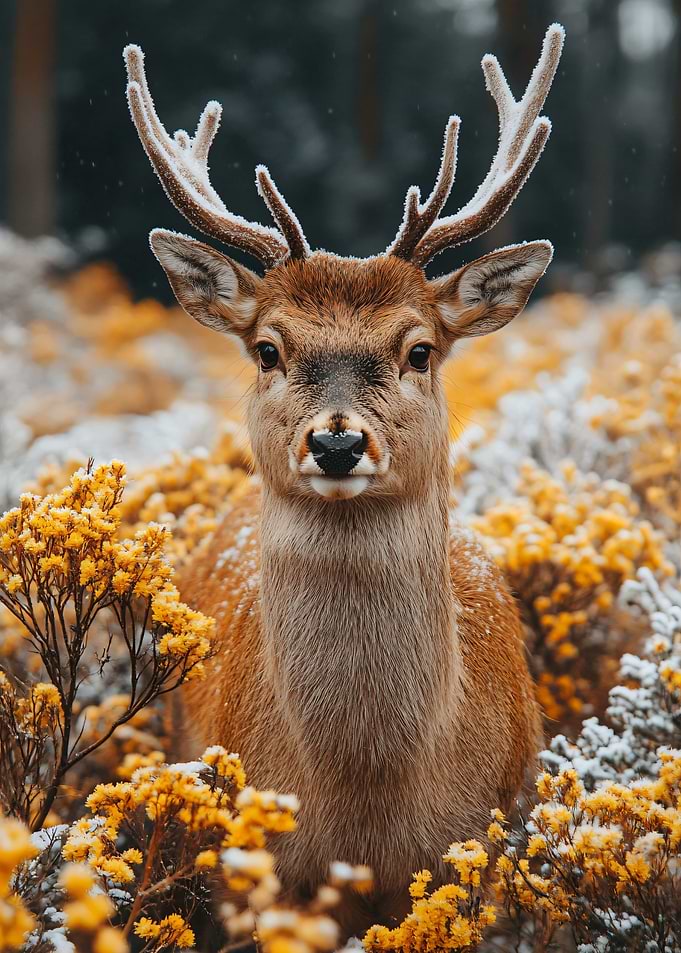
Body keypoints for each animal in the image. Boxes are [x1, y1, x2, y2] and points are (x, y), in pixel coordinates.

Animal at [124, 23, 563, 938]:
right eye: (267, 347)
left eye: (419, 348)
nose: (334, 442)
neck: (365, 809)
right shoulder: (254, 874)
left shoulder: (478, 854)